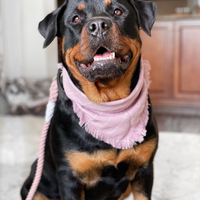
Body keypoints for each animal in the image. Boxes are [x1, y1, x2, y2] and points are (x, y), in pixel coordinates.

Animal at [20, 0, 158, 200]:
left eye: (118, 11)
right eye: (75, 18)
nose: (98, 25)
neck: (108, 103)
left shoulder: (144, 169)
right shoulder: (70, 178)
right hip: (35, 187)